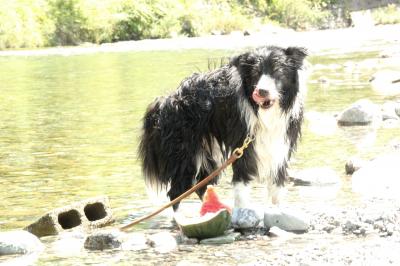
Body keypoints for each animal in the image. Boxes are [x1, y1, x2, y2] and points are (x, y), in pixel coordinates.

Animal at [139, 46, 308, 212]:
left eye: (277, 71)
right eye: (256, 74)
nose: (261, 91)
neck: (266, 115)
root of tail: (165, 101)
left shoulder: (281, 144)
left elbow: (277, 187)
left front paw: (278, 209)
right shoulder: (243, 144)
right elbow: (242, 183)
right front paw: (243, 209)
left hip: (210, 151)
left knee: (202, 185)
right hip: (184, 152)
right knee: (176, 192)